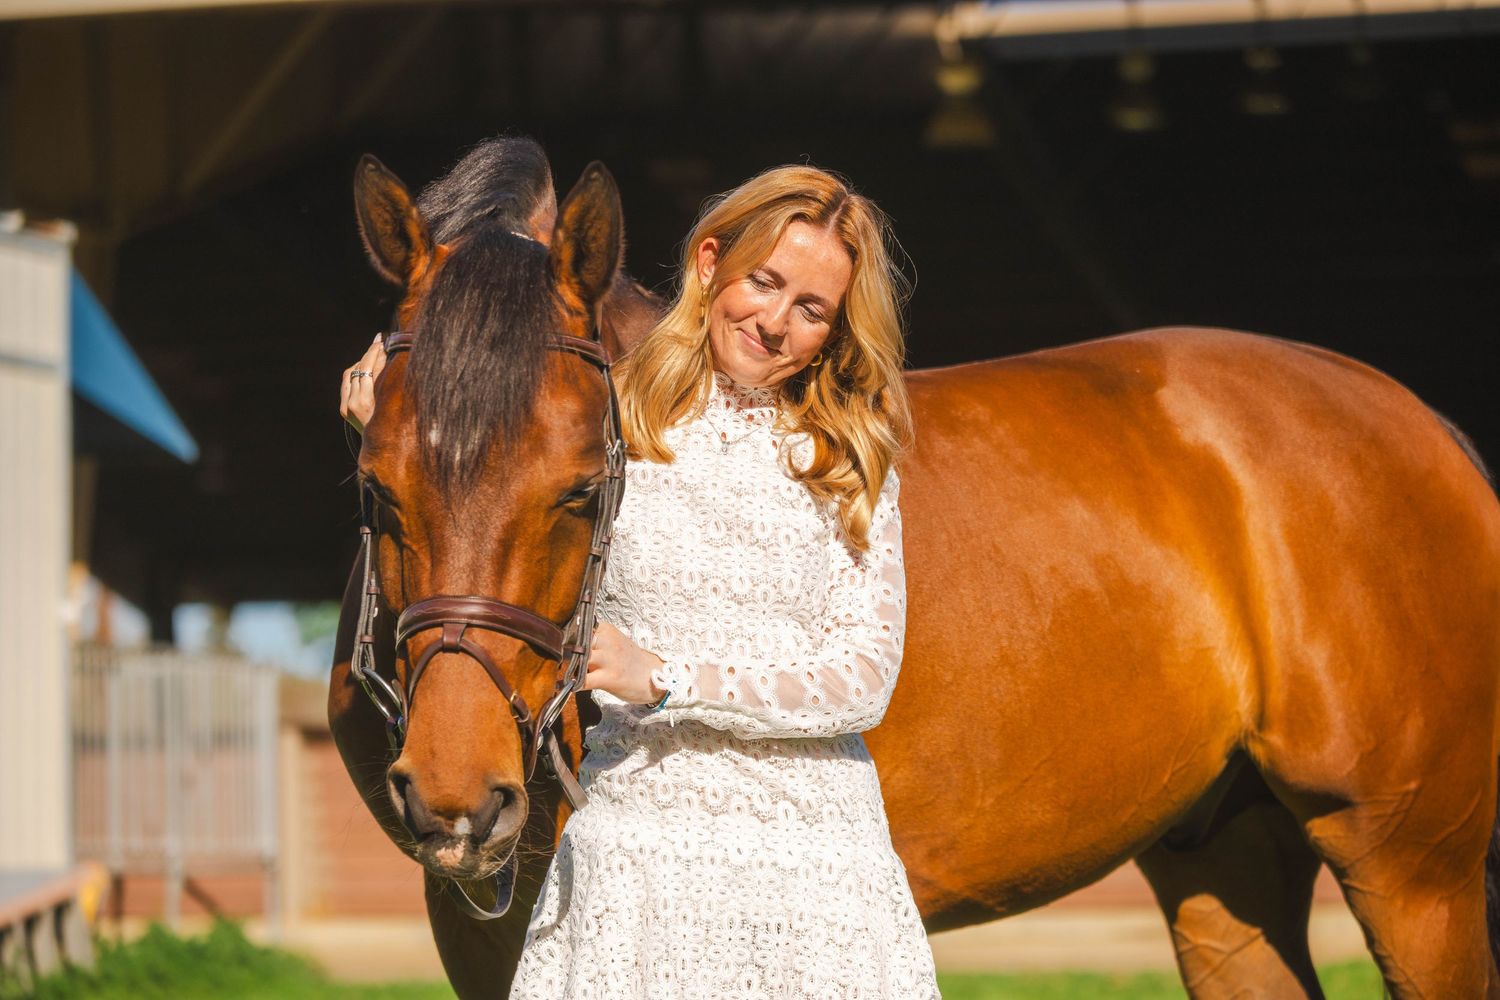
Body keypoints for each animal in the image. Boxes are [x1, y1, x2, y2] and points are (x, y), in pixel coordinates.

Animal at [328, 144, 1500, 999]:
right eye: (376, 488)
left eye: (582, 489)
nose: (458, 794)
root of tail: (1420, 423)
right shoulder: (482, 932)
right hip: (1224, 859)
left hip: (1415, 873)